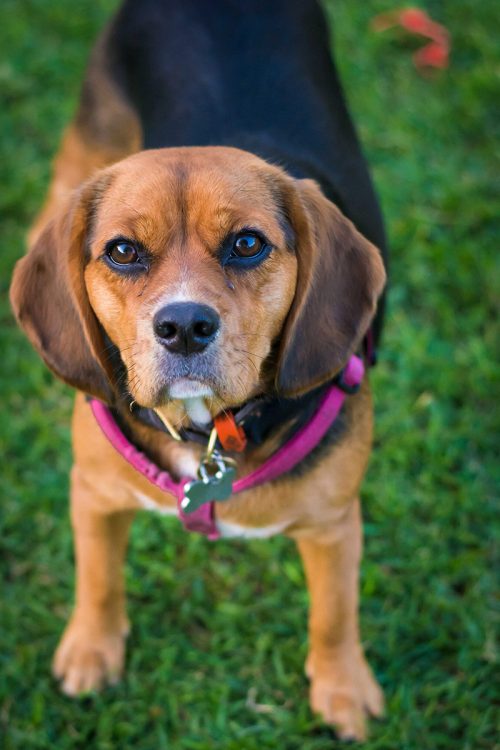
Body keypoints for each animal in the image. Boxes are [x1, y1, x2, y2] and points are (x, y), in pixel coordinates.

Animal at [9, 0, 388, 740]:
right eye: (122, 251)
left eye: (247, 244)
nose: (184, 325)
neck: (205, 434)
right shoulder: (92, 493)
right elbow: (98, 577)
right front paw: (91, 650)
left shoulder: (334, 523)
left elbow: (334, 614)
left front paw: (343, 690)